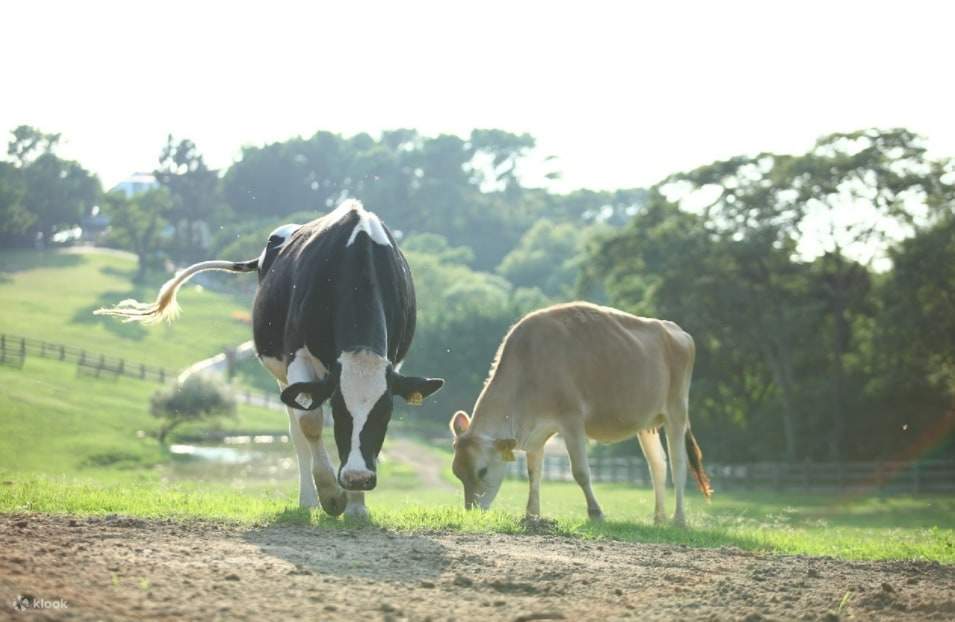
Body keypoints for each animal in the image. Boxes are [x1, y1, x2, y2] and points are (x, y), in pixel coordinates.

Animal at [96, 199, 444, 518]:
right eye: (339, 410)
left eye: (385, 413)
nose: (357, 478)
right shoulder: (296, 358)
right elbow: (311, 424)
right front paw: (331, 494)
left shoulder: (392, 363)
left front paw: (357, 506)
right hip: (283, 376)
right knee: (297, 430)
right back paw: (308, 499)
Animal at [449, 302, 711, 526]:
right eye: (457, 473)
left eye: (482, 470)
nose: (472, 511)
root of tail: (677, 330)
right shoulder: (536, 433)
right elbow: (534, 473)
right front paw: (532, 515)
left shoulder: (571, 420)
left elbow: (581, 472)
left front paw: (596, 513)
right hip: (648, 422)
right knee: (658, 465)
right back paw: (659, 518)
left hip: (677, 412)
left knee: (678, 464)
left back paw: (679, 520)